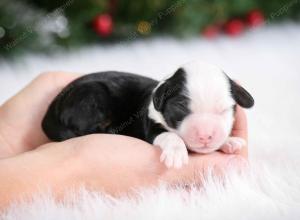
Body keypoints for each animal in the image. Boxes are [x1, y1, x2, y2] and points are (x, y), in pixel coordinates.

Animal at [41, 61, 253, 168]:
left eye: (224, 110)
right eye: (181, 108)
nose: (206, 136)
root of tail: (52, 107)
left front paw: (229, 142)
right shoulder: (151, 125)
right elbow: (169, 135)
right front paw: (176, 152)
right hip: (91, 95)